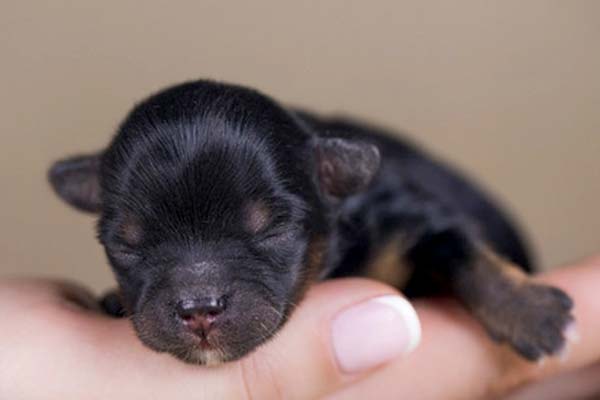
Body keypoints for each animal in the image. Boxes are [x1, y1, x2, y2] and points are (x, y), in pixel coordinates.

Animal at [49, 79, 576, 364]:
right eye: (126, 245)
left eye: (274, 228)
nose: (199, 308)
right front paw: (114, 299)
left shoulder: (410, 219)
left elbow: (464, 249)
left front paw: (530, 312)